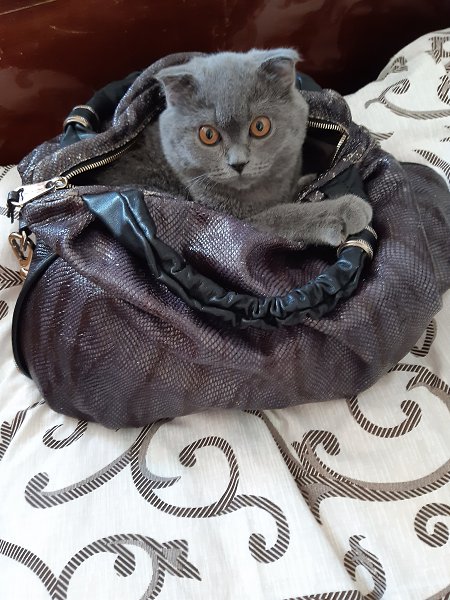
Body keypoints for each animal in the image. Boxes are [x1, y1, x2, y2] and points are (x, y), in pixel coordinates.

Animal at [92, 49, 372, 246]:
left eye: (260, 126)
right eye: (208, 134)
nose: (238, 163)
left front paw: (306, 181)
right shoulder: (244, 221)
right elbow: (284, 214)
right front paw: (345, 209)